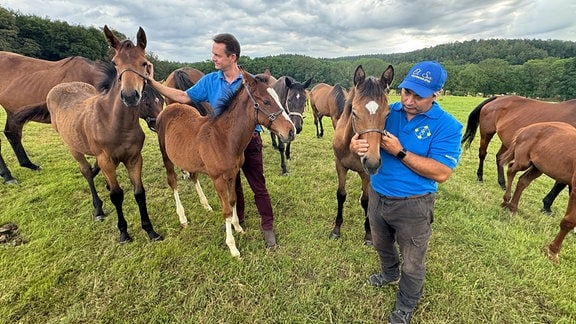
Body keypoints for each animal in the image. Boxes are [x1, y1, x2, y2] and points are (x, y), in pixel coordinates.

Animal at [45, 25, 162, 243]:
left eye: (143, 63)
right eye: (115, 63)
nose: (129, 96)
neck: (116, 123)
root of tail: (58, 88)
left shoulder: (134, 158)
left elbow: (139, 192)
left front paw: (150, 231)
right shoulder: (106, 159)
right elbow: (117, 195)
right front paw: (123, 232)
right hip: (73, 148)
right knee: (86, 172)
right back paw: (98, 209)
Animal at [155, 68, 294, 258]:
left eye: (279, 99)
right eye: (266, 101)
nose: (291, 131)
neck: (223, 138)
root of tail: (168, 109)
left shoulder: (233, 174)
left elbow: (233, 200)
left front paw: (238, 227)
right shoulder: (218, 179)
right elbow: (226, 210)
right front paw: (233, 247)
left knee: (193, 177)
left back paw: (205, 204)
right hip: (166, 157)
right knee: (173, 182)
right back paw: (182, 217)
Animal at [330, 64, 394, 244]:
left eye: (387, 114)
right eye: (354, 112)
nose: (372, 163)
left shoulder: (366, 174)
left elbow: (366, 200)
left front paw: (369, 234)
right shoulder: (340, 165)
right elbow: (341, 194)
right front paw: (336, 229)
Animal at [500, 121, 576, 264]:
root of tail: (526, 128)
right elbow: (568, 222)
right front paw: (553, 252)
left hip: (538, 167)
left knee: (523, 181)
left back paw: (513, 207)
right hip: (524, 162)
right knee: (511, 169)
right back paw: (506, 200)